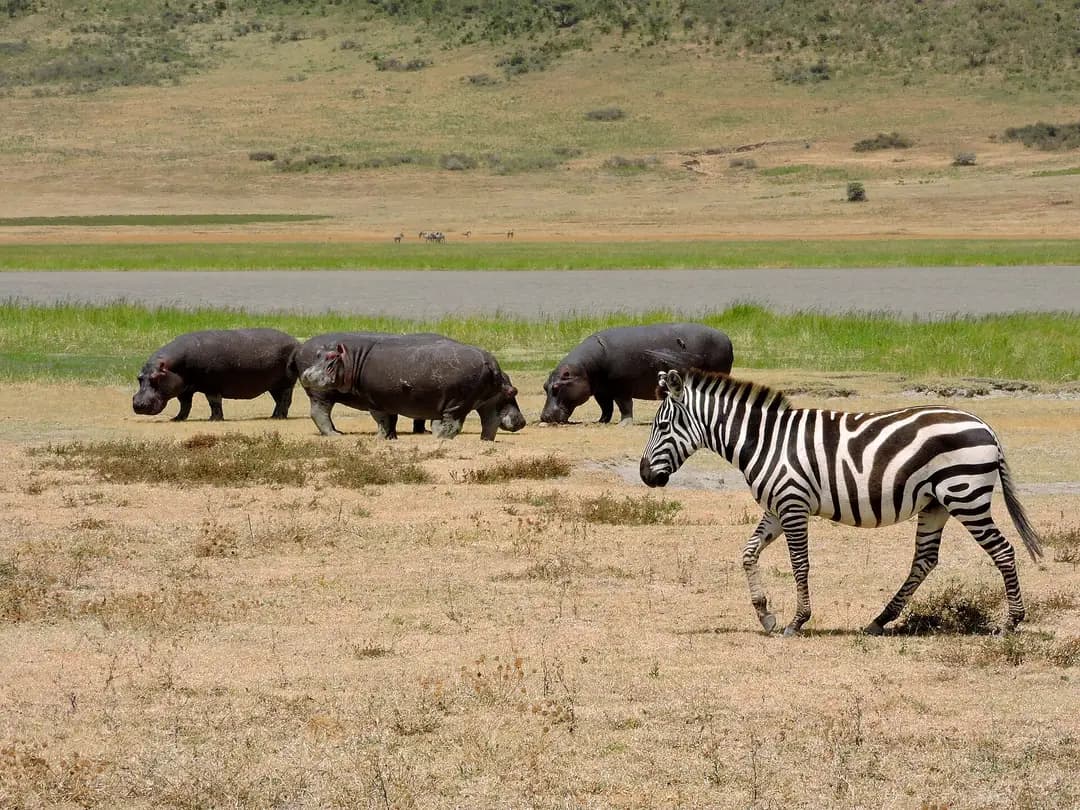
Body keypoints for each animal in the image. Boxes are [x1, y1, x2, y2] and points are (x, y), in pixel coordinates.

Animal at [133, 328, 300, 421]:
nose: (138, 404)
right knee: (279, 401)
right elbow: (185, 405)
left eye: (155, 378)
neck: (172, 367)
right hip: (273, 386)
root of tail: (296, 341)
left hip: (285, 384)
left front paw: (214, 419)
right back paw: (274, 416)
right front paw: (177, 419)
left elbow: (214, 403)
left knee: (285, 400)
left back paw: (278, 417)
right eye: (139, 378)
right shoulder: (184, 389)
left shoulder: (212, 386)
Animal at [299, 333, 526, 440]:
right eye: (319, 355)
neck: (353, 358)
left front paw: (380, 438)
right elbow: (389, 420)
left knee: (457, 424)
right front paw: (388, 438)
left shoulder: (375, 400)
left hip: (458, 402)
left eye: (331, 357)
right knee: (489, 421)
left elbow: (383, 420)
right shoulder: (385, 399)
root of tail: (491, 363)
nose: (306, 374)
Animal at [540, 323, 733, 425]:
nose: (544, 416)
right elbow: (606, 408)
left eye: (556, 387)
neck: (584, 368)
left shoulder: (622, 388)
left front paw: (624, 424)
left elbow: (624, 406)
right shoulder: (602, 392)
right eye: (544, 386)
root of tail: (726, 337)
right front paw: (601, 421)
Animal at [639, 369, 1043, 637]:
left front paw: (797, 621)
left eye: (661, 426)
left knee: (1003, 550)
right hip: (935, 504)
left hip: (965, 495)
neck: (764, 441)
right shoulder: (776, 506)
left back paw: (1010, 622)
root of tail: (984, 425)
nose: (644, 475)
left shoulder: (793, 503)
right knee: (925, 560)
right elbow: (748, 553)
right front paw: (765, 614)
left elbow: (800, 565)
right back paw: (879, 620)